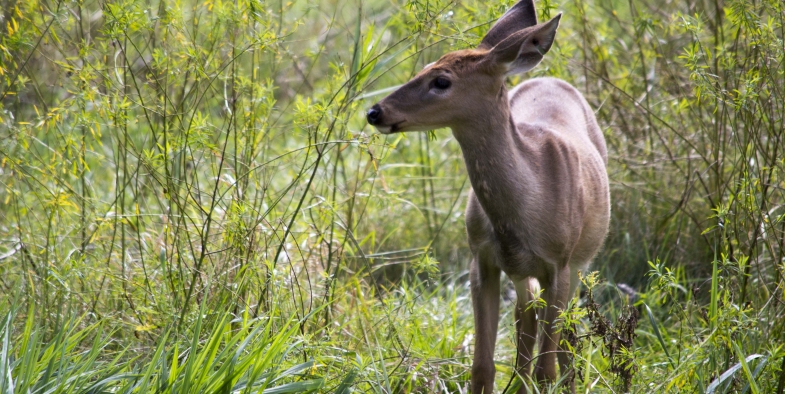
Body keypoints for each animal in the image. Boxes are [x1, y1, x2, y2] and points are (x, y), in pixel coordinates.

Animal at [364, 1, 608, 392]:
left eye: (441, 80)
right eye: (424, 68)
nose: (375, 112)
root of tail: (550, 78)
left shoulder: (559, 264)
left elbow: (547, 368)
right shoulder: (481, 260)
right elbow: (482, 365)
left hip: (579, 263)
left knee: (563, 336)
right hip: (522, 272)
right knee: (525, 318)